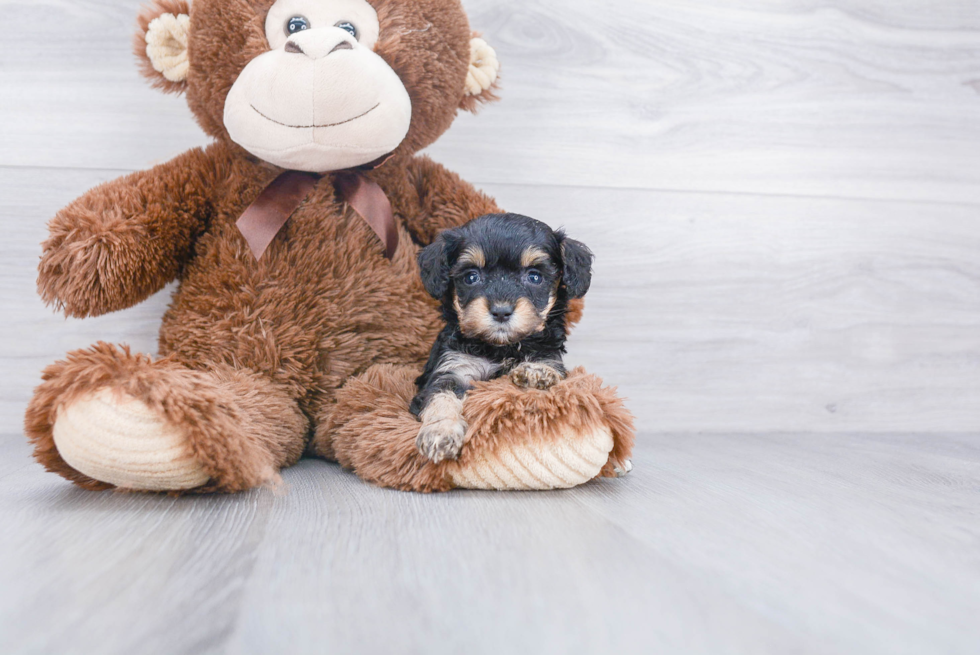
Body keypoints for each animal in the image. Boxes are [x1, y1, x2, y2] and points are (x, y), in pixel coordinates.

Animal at [410, 213, 592, 464]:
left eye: (534, 277)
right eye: (471, 277)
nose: (501, 311)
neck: (501, 348)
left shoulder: (550, 355)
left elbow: (548, 366)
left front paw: (535, 371)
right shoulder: (452, 369)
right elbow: (441, 397)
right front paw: (440, 432)